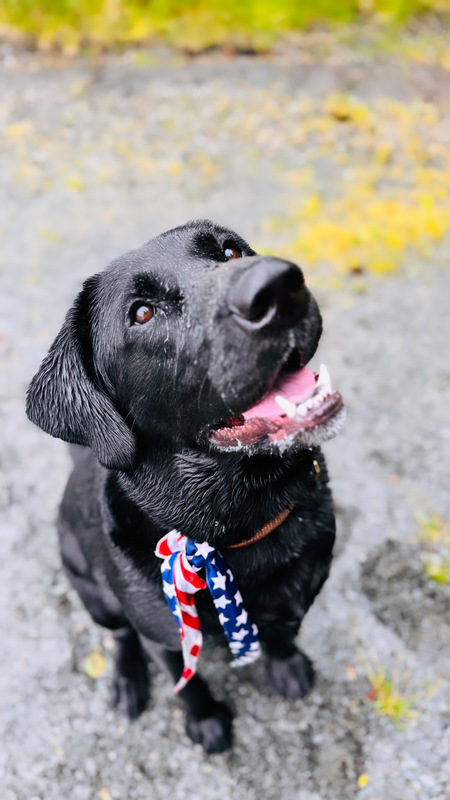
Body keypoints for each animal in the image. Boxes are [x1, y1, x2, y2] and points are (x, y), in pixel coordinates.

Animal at [27, 219, 344, 752]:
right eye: (142, 312)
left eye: (230, 251)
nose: (278, 285)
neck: (240, 524)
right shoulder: (165, 637)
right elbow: (187, 682)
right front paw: (207, 720)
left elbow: (282, 636)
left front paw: (286, 667)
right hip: (93, 592)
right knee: (121, 637)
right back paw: (126, 681)